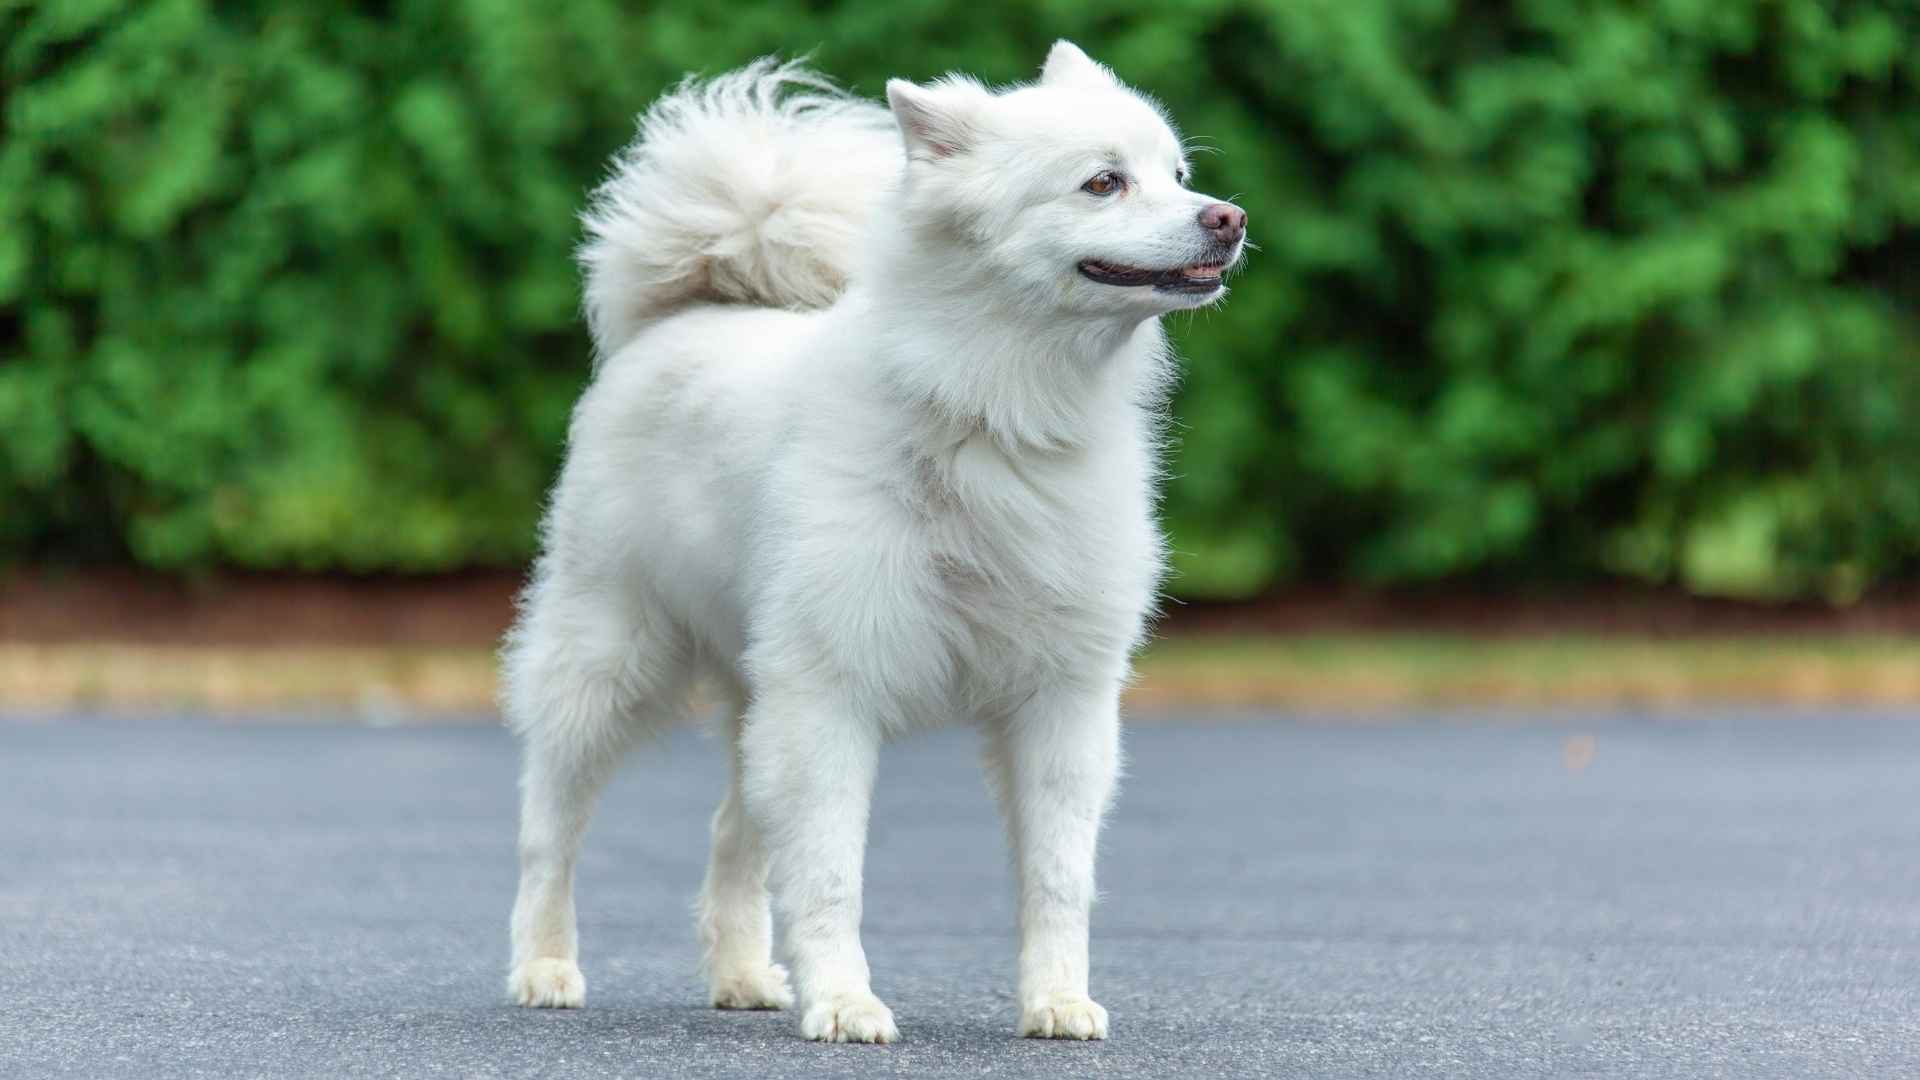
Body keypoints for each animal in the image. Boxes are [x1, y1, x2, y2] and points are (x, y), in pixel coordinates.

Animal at [499, 44, 1244, 1045]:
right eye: (1103, 182)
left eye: (1180, 175)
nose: (1230, 219)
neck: (993, 413)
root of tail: (685, 315)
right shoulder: (830, 693)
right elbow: (830, 874)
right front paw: (847, 1003)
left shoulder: (1062, 701)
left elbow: (1057, 877)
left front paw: (1055, 1001)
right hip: (609, 659)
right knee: (551, 826)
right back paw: (544, 967)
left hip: (754, 692)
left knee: (731, 833)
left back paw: (742, 976)